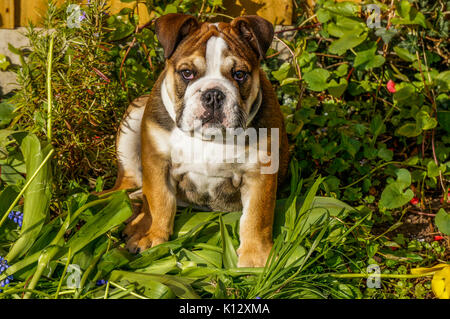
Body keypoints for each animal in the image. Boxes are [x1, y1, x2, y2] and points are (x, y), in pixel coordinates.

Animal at [111, 13, 290, 268]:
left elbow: (257, 216)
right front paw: (152, 235)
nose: (213, 94)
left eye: (239, 74)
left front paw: (256, 257)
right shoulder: (157, 161)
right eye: (187, 73)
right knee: (128, 184)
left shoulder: (260, 172)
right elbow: (158, 200)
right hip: (136, 112)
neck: (210, 138)